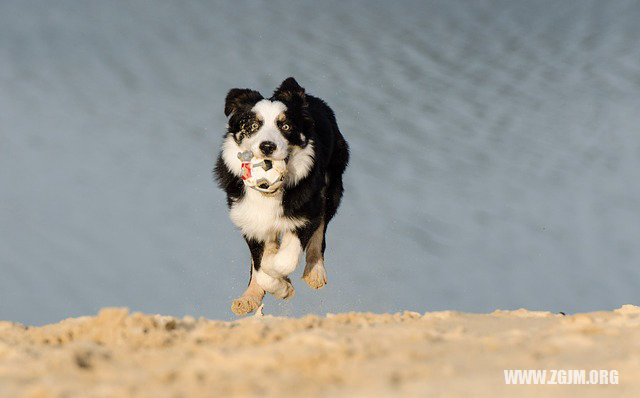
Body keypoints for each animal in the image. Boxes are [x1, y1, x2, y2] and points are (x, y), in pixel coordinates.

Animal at [214, 77, 350, 314]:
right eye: (252, 126)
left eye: (286, 127)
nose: (267, 146)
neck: (269, 194)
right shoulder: (248, 217)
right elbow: (260, 266)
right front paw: (280, 287)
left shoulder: (306, 212)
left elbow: (282, 260)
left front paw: (284, 284)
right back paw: (248, 299)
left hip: (331, 184)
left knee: (321, 227)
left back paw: (315, 273)